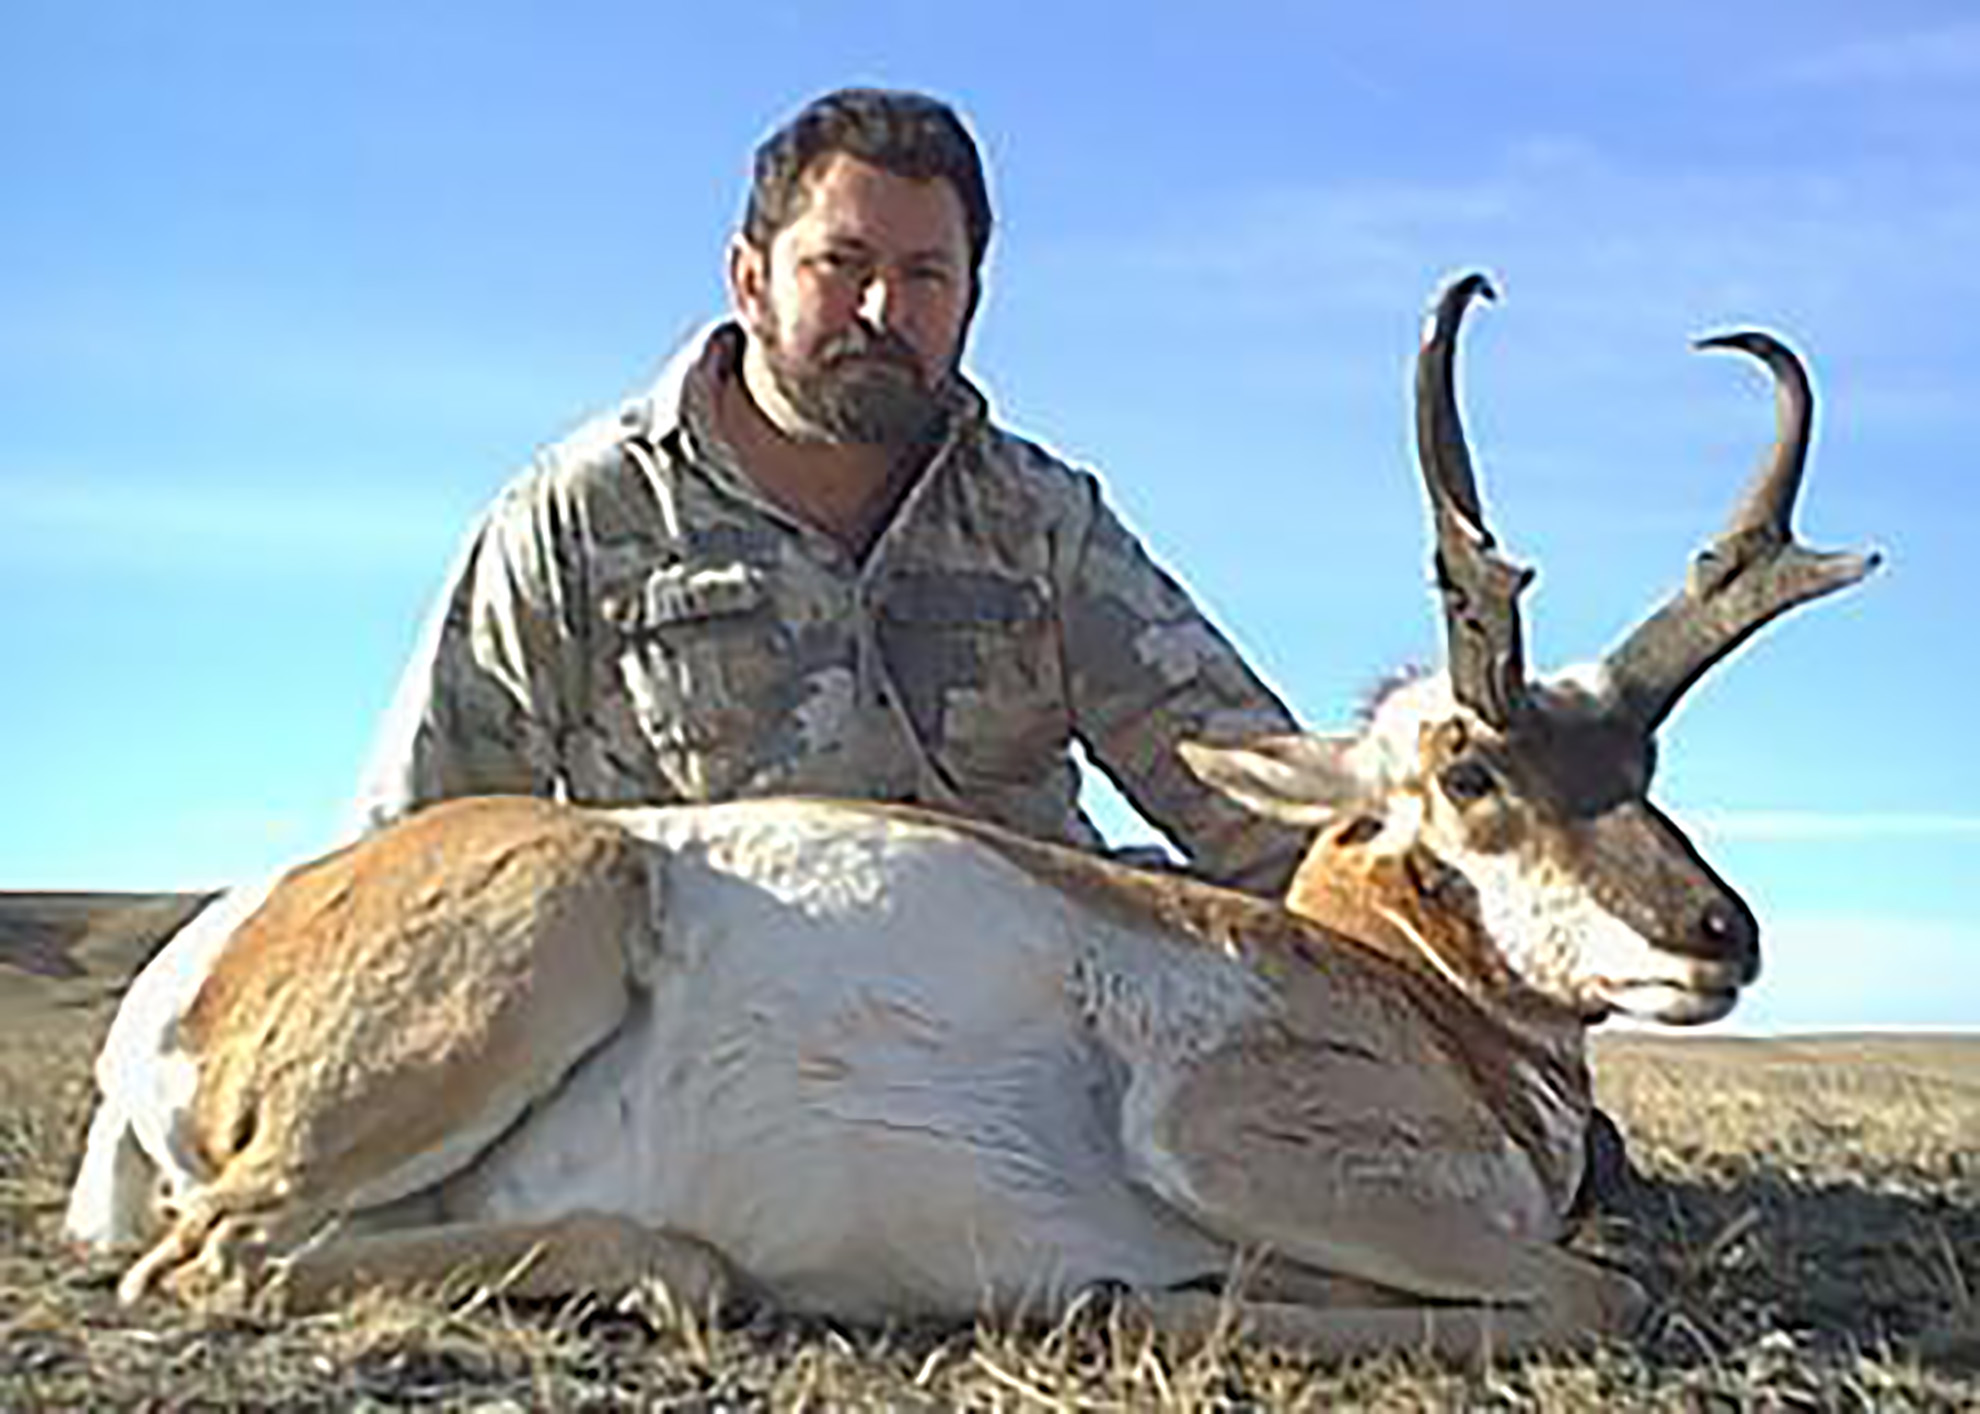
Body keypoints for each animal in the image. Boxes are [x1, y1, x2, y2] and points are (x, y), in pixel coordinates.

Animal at [61, 275, 1877, 1354]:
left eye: (1643, 764)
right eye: (1475, 773)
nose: (1722, 933)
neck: (1400, 993)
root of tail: (195, 968)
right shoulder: (1230, 1133)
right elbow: (1589, 1284)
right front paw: (1168, 1297)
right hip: (550, 918)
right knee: (215, 1254)